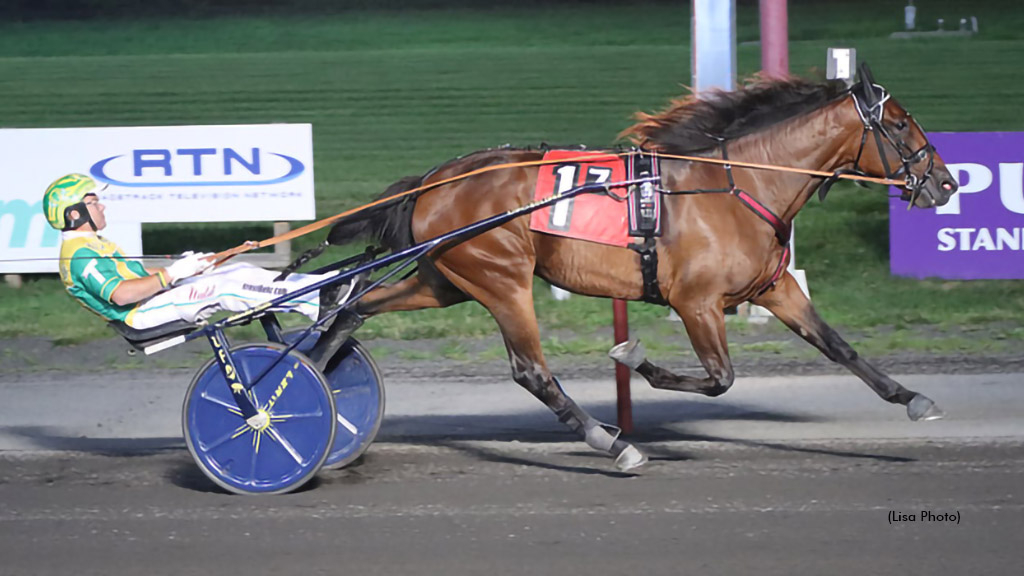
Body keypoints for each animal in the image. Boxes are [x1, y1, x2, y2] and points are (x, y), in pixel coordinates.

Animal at [325, 66, 958, 471]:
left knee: (353, 307)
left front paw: (912, 399)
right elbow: (720, 377)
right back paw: (612, 444)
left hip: (447, 279)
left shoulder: (774, 287)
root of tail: (433, 180)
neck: (741, 184)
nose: (946, 183)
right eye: (898, 124)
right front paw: (633, 359)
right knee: (531, 371)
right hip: (502, 278)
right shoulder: (696, 302)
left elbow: (838, 346)